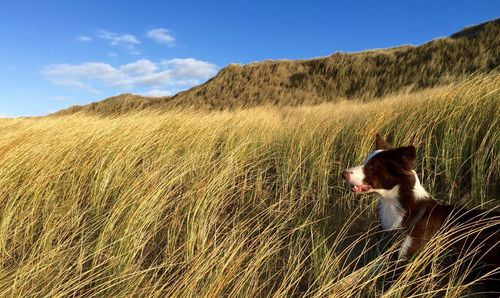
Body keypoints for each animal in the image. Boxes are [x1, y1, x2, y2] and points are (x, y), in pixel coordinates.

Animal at [342, 134, 498, 296]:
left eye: (372, 167)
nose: (343, 174)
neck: (398, 205)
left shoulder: (410, 264)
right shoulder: (387, 257)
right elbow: (357, 274)